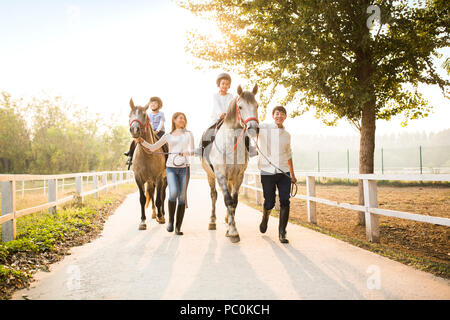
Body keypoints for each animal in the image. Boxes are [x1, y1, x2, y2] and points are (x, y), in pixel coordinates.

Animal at [128, 97, 167, 230]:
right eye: (130, 114)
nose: (135, 129)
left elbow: (159, 198)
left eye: (144, 115)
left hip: (162, 180)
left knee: (162, 195)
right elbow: (142, 199)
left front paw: (161, 217)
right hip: (150, 181)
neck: (147, 155)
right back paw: (154, 213)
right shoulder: (138, 178)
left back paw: (162, 214)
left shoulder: (159, 178)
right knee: (152, 192)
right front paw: (142, 221)